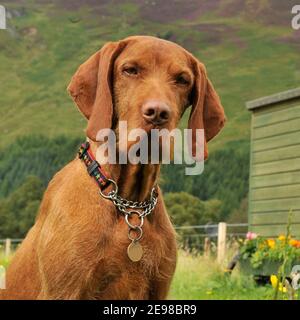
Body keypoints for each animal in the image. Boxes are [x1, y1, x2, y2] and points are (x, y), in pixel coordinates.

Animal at [0, 35, 225, 300]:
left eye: (182, 80)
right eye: (130, 70)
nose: (158, 113)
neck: (129, 204)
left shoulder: (158, 289)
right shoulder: (65, 290)